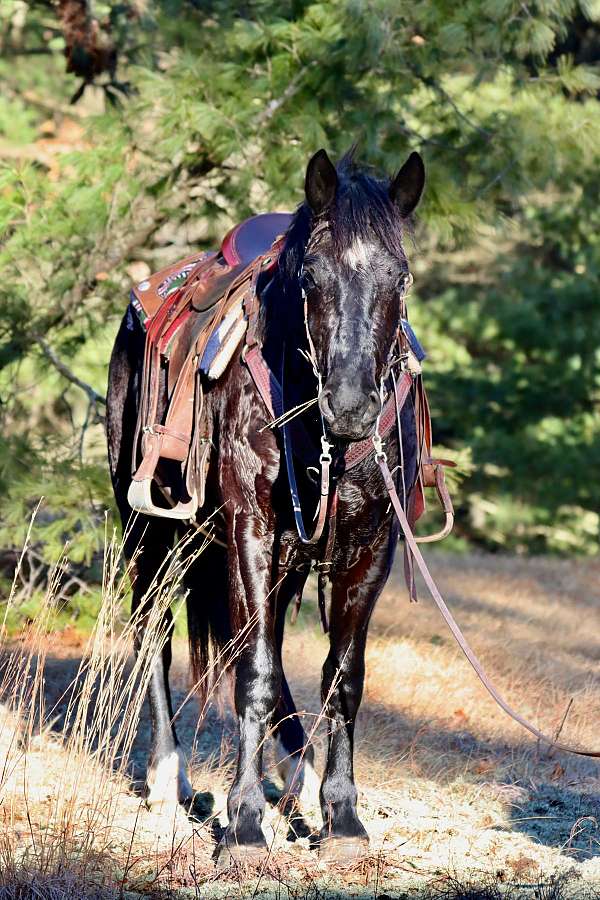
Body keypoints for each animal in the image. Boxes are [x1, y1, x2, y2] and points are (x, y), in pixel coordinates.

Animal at [109, 148, 426, 864]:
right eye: (311, 274)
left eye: (400, 276)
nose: (352, 405)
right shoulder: (249, 530)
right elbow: (250, 672)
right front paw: (246, 822)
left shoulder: (370, 545)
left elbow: (344, 677)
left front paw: (342, 815)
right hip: (150, 533)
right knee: (156, 636)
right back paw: (169, 783)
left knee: (272, 647)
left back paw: (300, 780)